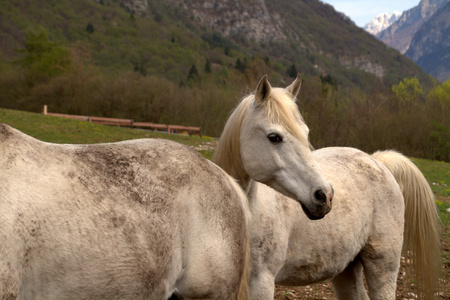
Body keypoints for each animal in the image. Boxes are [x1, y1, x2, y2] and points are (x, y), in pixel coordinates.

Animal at [213, 77, 442, 298]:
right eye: (274, 137)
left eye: (305, 133)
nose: (325, 196)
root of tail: (377, 160)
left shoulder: (262, 282)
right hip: (347, 268)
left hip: (383, 265)